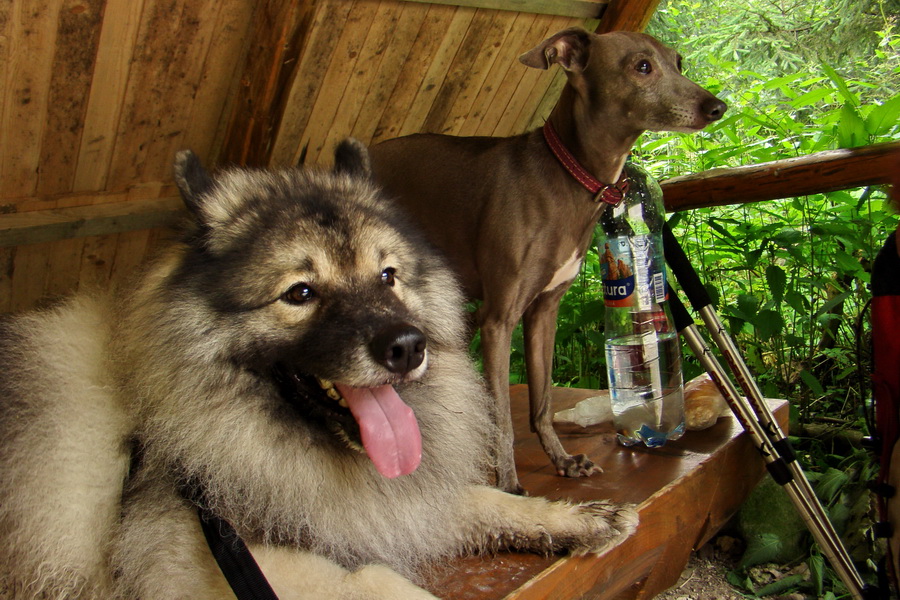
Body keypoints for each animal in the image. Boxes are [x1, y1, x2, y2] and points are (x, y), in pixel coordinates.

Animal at [0, 138, 636, 596]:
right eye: (300, 293)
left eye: (388, 276)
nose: (408, 346)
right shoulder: (200, 562)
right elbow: (382, 583)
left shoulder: (371, 508)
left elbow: (485, 501)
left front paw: (580, 520)